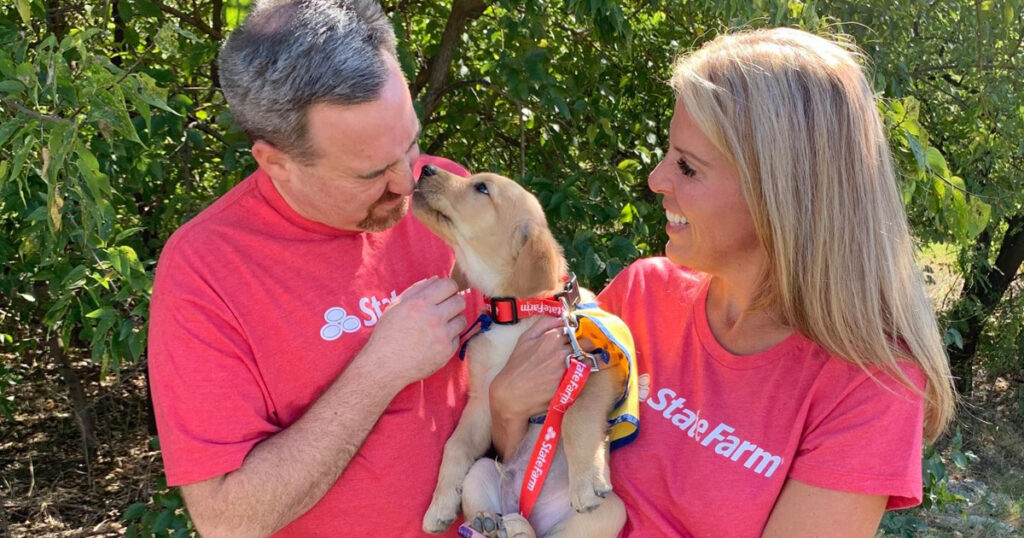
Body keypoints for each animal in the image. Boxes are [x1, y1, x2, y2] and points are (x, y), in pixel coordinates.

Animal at [413, 164, 622, 536]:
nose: (426, 167)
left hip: (612, 512)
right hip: (483, 471)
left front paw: (585, 480)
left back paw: (520, 524)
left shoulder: (594, 364)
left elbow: (577, 416)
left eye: (482, 188)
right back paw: (489, 522)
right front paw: (439, 504)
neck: (514, 312)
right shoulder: (483, 401)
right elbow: (455, 445)